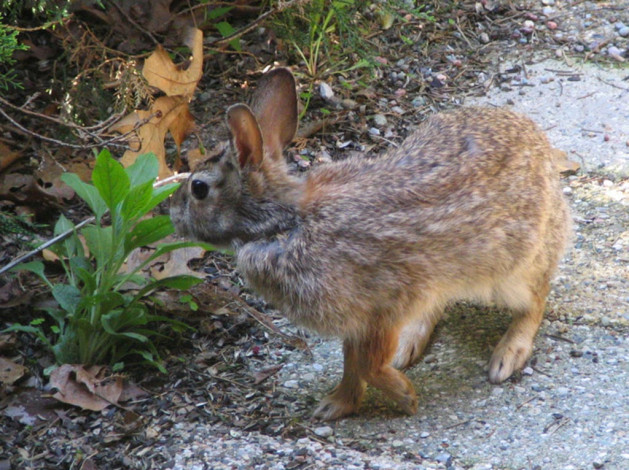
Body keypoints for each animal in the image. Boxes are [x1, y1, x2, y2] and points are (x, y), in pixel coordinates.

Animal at [170, 68, 568, 420]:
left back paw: (506, 355)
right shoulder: (356, 320)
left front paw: (405, 396)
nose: (172, 214)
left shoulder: (384, 307)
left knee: (534, 303)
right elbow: (352, 364)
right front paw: (337, 405)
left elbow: (368, 365)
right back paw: (409, 346)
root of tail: (540, 144)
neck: (285, 222)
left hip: (512, 270)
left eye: (199, 189)